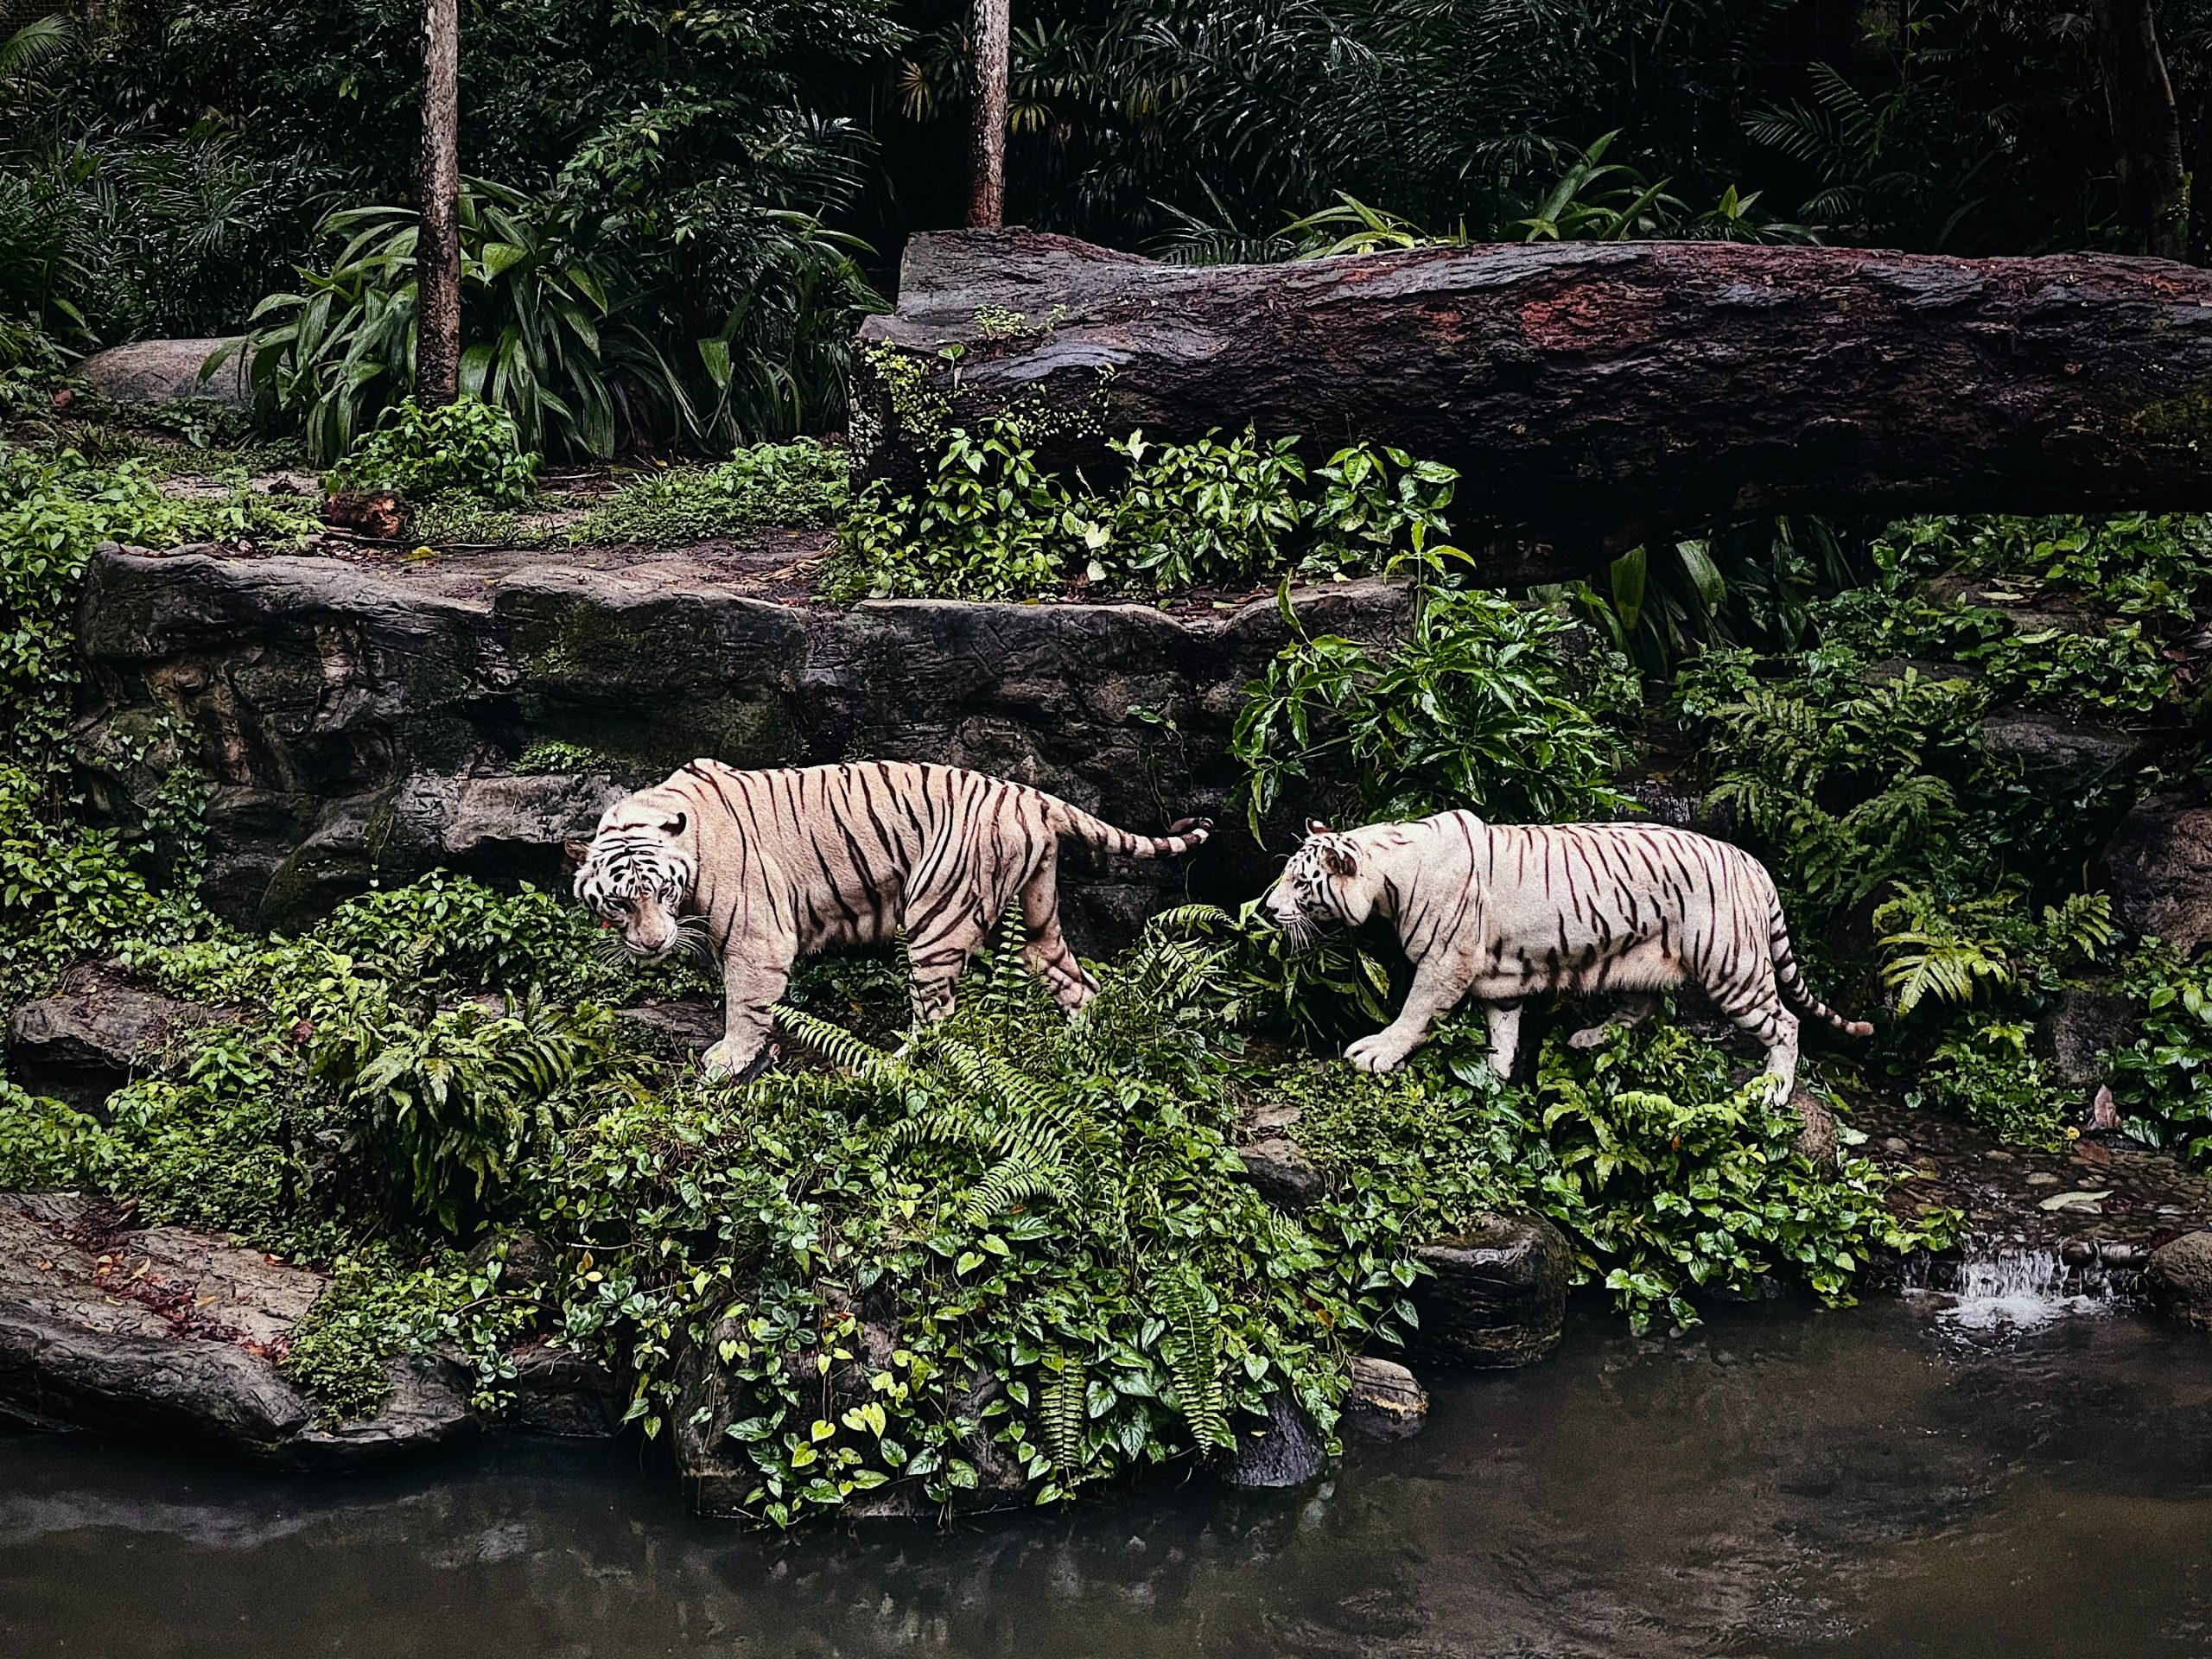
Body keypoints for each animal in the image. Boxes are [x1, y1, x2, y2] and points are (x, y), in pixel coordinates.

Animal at [1265, 814, 1866, 1096]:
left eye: (1301, 883)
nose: (1266, 910)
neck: (1389, 874)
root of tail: (1752, 863)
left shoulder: (1443, 964)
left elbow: (1413, 1012)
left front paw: (1375, 1053)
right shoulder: (1497, 976)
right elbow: (1502, 1028)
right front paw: (1494, 1075)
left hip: (1732, 965)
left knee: (1785, 1023)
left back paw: (1775, 1090)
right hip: (1642, 957)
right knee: (1641, 1008)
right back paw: (1589, 1037)